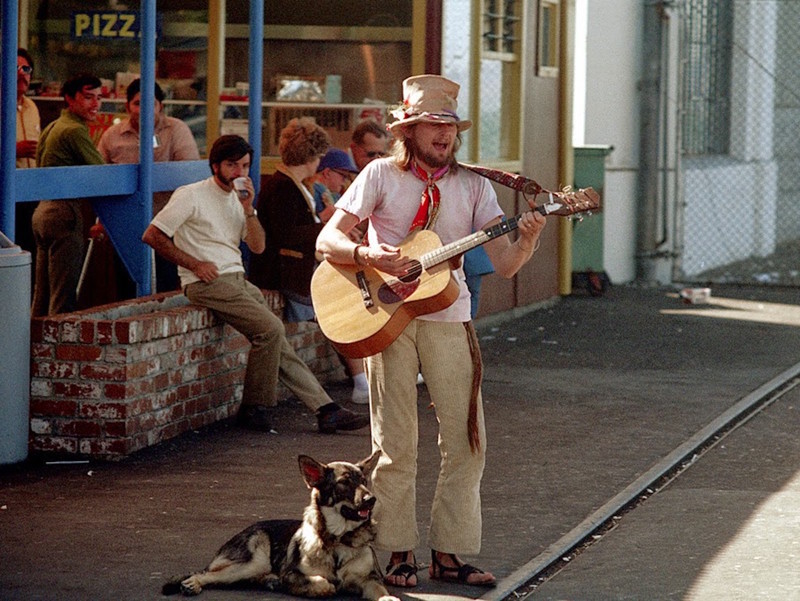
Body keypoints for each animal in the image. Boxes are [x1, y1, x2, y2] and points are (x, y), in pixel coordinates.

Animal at [162, 450, 400, 600]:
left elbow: (380, 590)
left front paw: (388, 598)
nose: (371, 500)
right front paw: (323, 586)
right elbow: (322, 583)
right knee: (208, 575)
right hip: (253, 563)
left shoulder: (369, 579)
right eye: (344, 482)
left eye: (364, 481)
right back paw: (193, 583)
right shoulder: (292, 574)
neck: (339, 540)